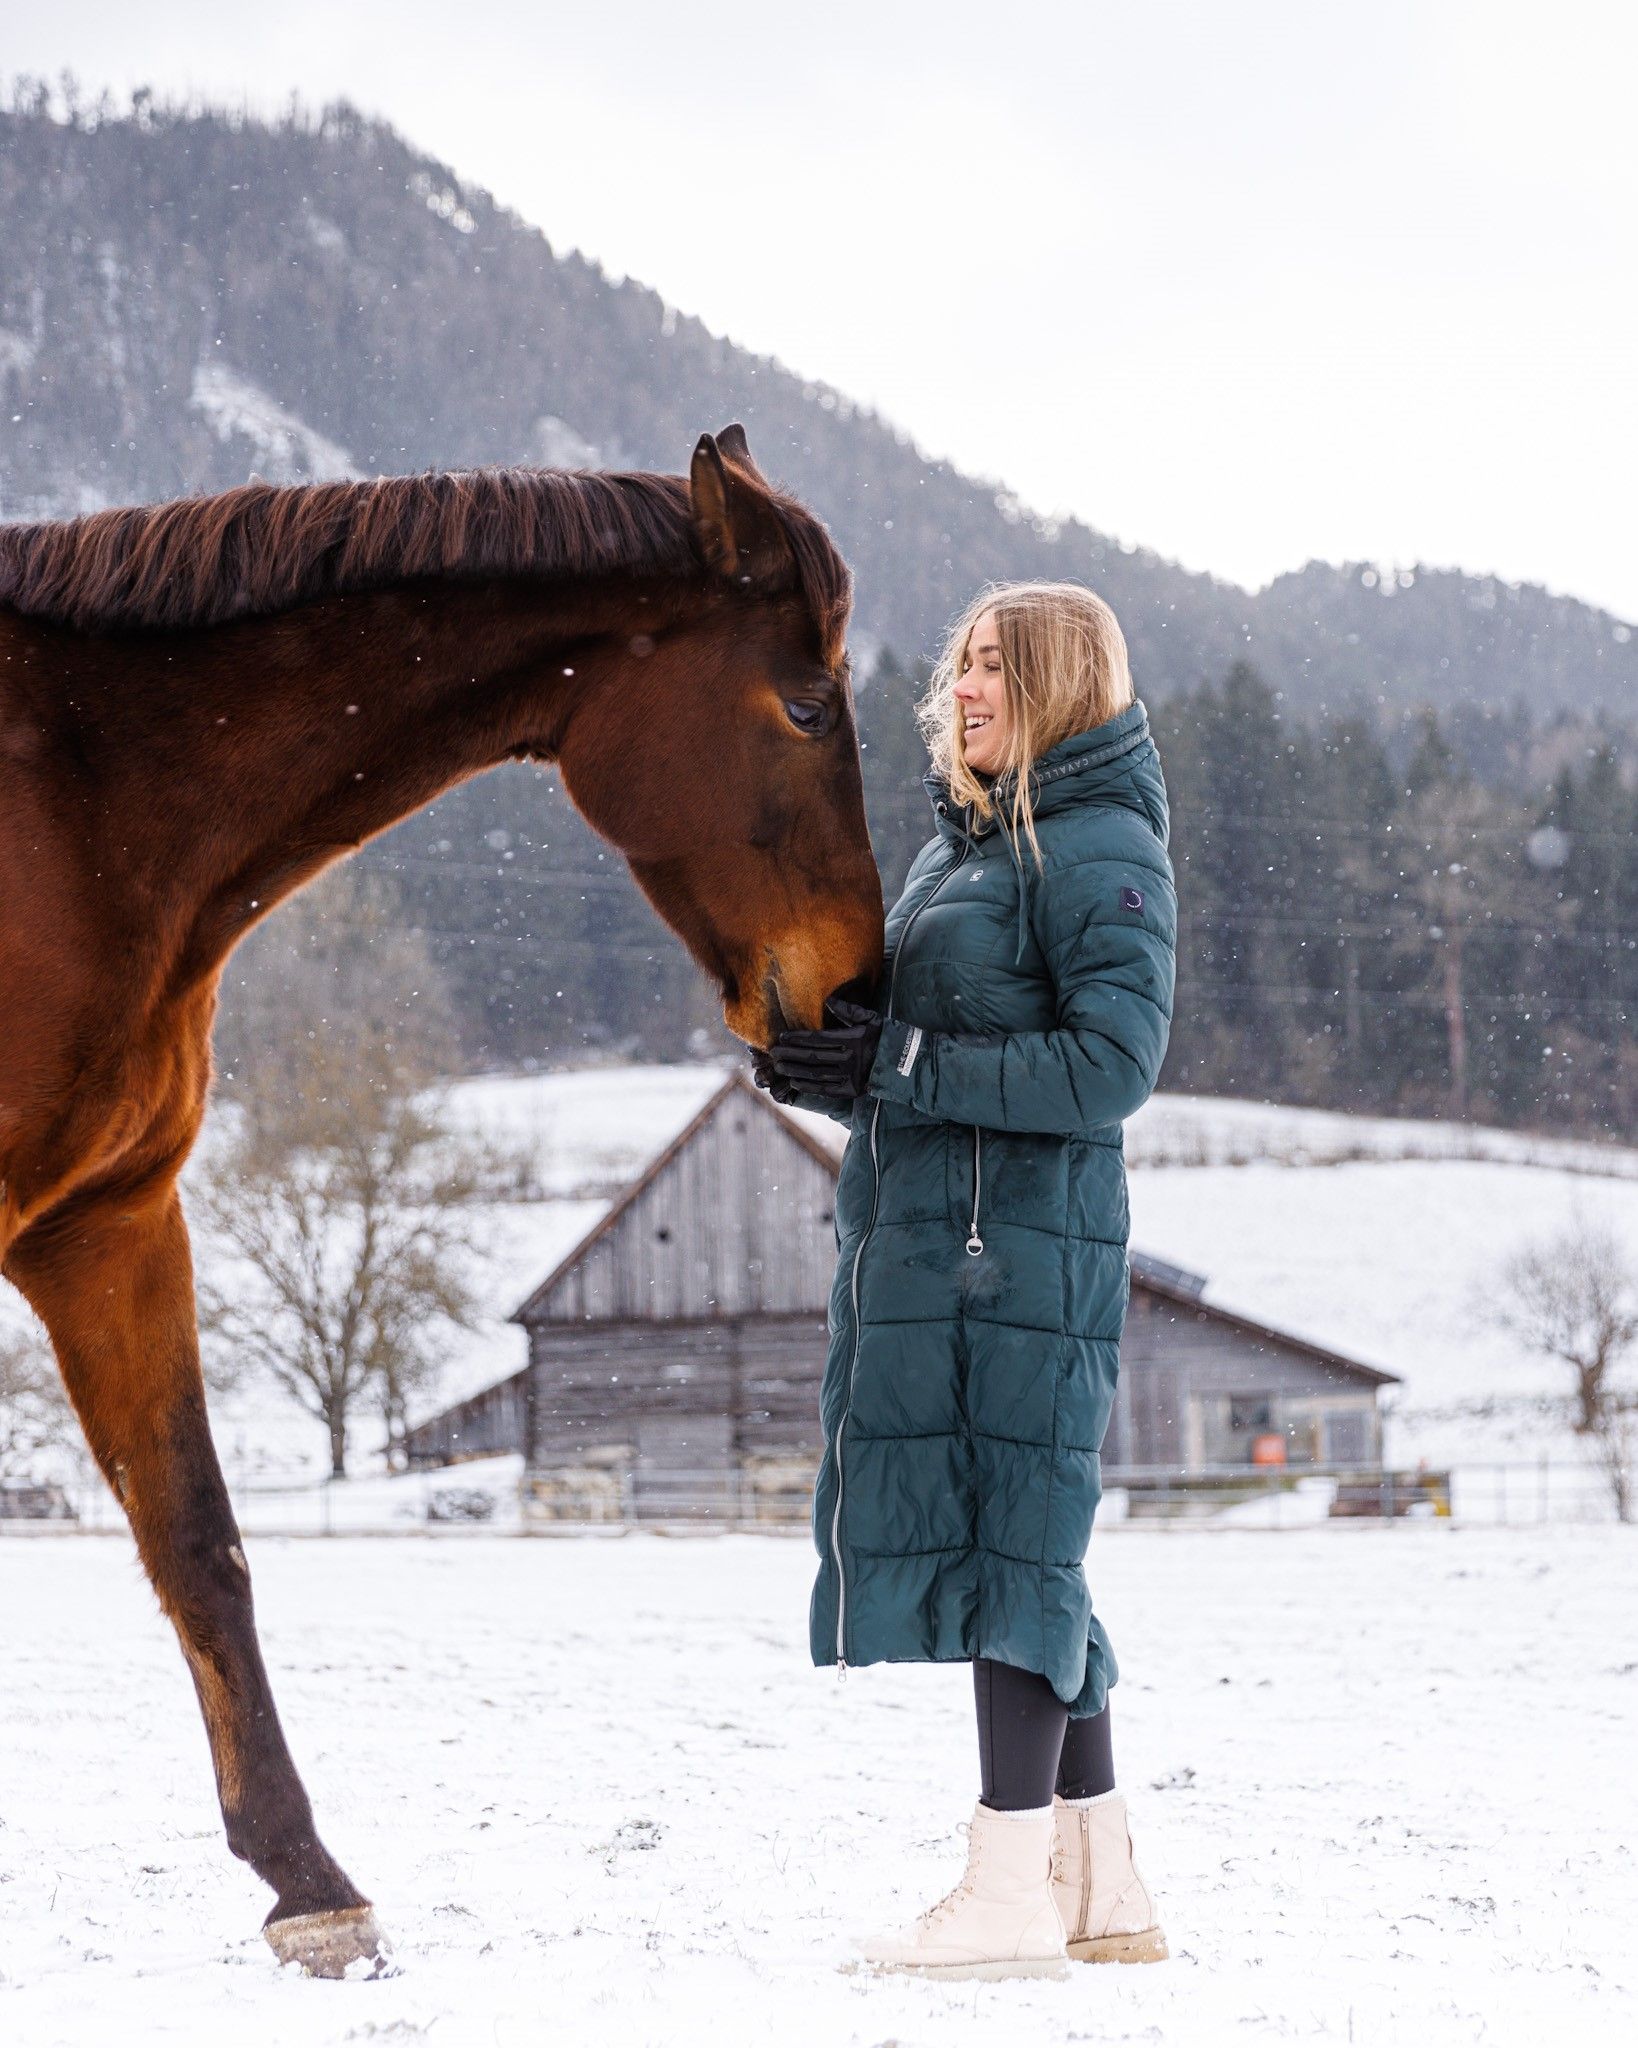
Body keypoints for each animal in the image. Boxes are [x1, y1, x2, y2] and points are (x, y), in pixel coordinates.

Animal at [0, 425, 884, 1975]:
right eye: (805, 703)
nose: (858, 999)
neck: (79, 801)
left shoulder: (104, 1225)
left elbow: (199, 1543)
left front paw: (307, 1883)